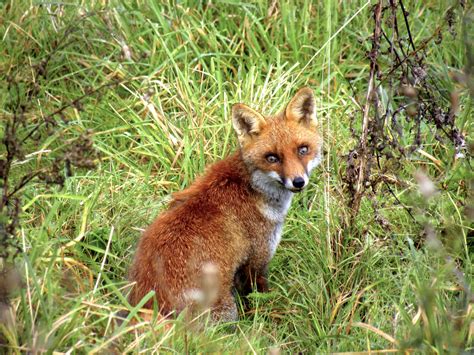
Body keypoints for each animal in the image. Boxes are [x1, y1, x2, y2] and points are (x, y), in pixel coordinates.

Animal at [128, 87, 324, 322]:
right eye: (272, 158)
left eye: (303, 150)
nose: (298, 182)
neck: (251, 187)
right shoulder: (256, 262)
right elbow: (259, 301)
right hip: (228, 310)